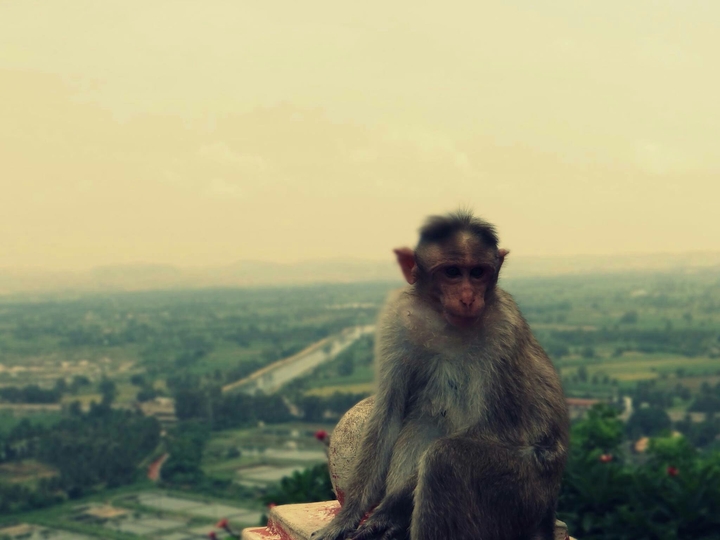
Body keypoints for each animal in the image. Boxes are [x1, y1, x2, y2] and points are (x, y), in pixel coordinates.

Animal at [312, 210, 569, 540]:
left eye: (478, 272)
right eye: (452, 272)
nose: (468, 296)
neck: (446, 319)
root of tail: (548, 509)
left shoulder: (505, 328)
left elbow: (490, 428)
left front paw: (387, 512)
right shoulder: (398, 318)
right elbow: (387, 415)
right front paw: (347, 517)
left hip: (526, 489)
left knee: (444, 458)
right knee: (425, 421)